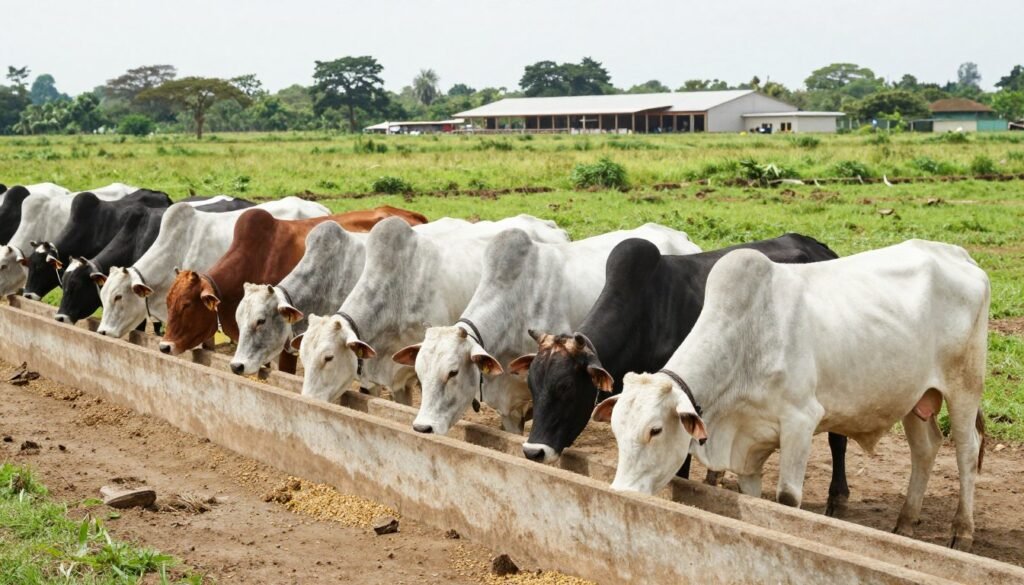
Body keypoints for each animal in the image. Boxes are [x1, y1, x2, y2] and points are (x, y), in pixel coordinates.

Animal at [514, 235, 850, 512]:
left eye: (566, 388)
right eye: (531, 384)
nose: (533, 452)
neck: (645, 313)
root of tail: (817, 245)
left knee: (838, 438)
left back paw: (837, 499)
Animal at [597, 240, 989, 551]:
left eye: (655, 430)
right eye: (615, 430)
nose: (620, 492)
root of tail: (958, 254)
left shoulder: (801, 421)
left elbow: (786, 500)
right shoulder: (749, 446)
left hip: (964, 387)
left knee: (967, 450)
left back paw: (962, 532)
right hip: (915, 395)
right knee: (925, 448)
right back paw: (905, 523)